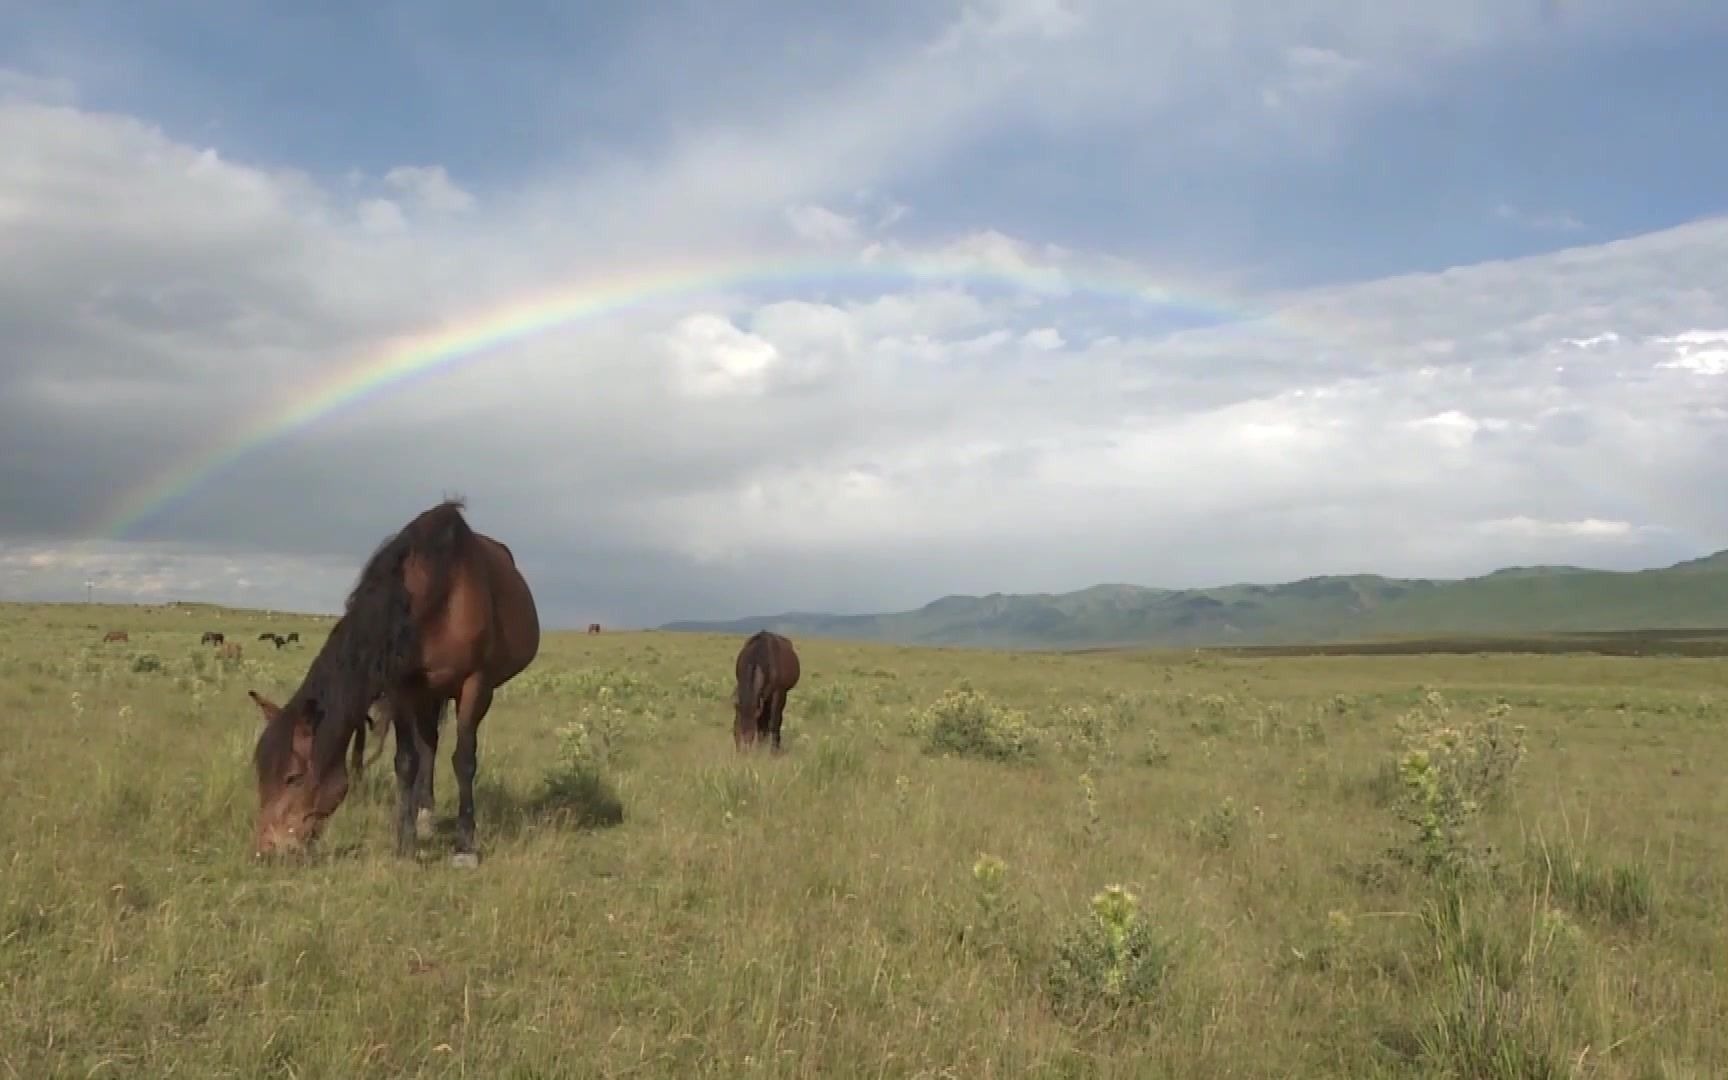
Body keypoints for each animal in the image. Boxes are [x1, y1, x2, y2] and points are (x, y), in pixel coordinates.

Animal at [247, 494, 535, 860]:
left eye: (293, 777)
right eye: (261, 774)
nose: (266, 849)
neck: (440, 593)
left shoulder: (476, 684)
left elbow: (464, 760)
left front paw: (465, 843)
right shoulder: (402, 687)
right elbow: (407, 761)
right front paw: (406, 840)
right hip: (427, 693)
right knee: (428, 745)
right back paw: (424, 816)